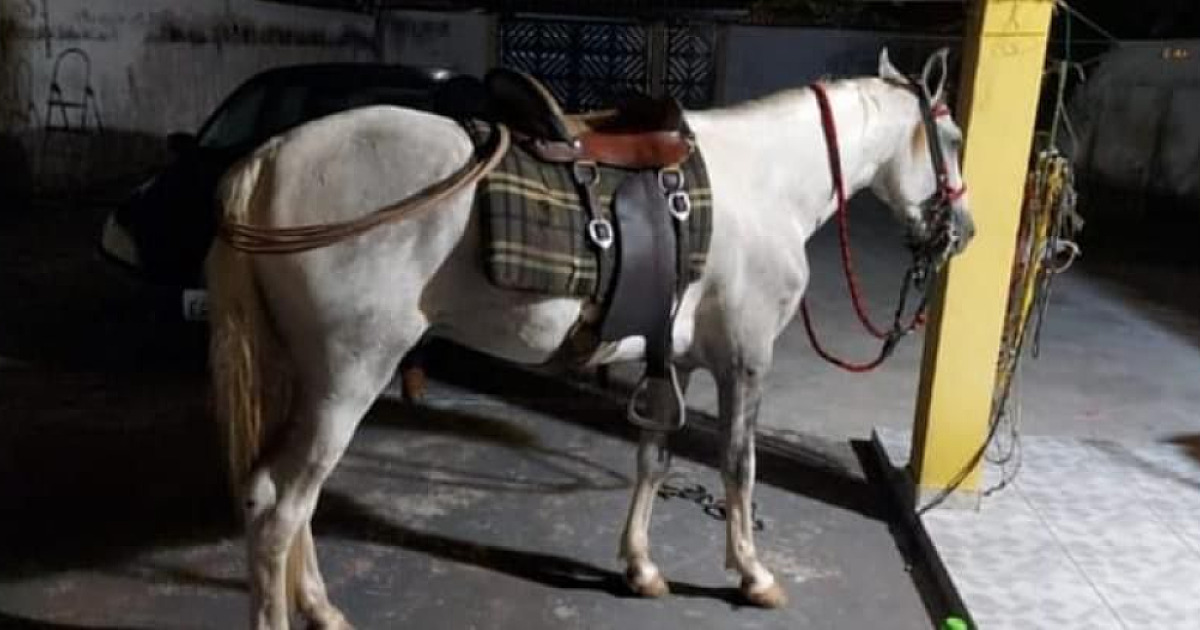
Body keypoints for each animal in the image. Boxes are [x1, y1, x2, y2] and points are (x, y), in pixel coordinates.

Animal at [206, 48, 975, 629]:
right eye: (955, 140)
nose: (962, 233)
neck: (765, 181)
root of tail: (269, 158)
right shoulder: (745, 359)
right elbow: (739, 466)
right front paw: (753, 574)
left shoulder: (676, 360)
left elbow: (654, 460)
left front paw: (641, 566)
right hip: (349, 376)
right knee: (281, 505)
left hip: (306, 379)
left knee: (291, 502)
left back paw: (322, 609)